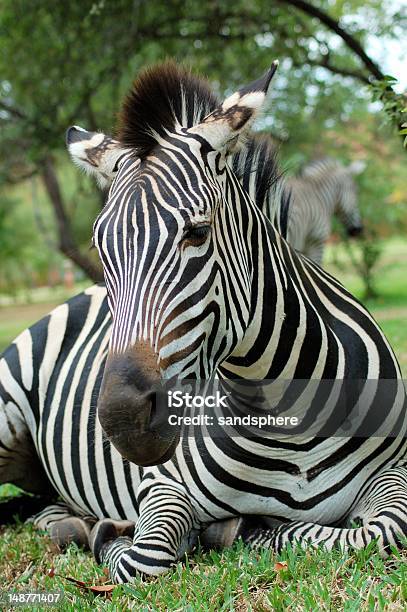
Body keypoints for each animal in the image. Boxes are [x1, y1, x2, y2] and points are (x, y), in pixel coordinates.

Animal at [0, 61, 407, 584]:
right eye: (99, 248)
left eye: (197, 232)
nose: (123, 421)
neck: (288, 414)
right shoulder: (160, 481)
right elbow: (142, 559)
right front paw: (117, 534)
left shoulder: (395, 470)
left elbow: (380, 531)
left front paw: (248, 530)